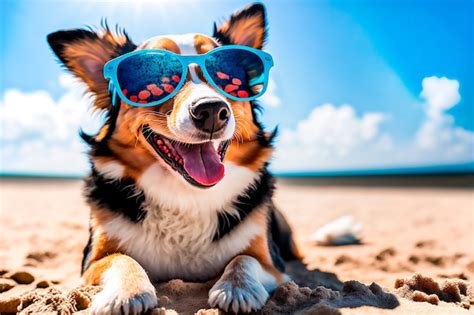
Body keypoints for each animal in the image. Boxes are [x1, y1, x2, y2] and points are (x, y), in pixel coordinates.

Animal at [47, 3, 296, 315]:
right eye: (154, 76)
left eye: (225, 75)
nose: (211, 111)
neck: (184, 195)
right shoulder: (91, 261)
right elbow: (120, 259)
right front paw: (127, 293)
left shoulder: (273, 263)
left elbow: (244, 259)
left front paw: (236, 288)